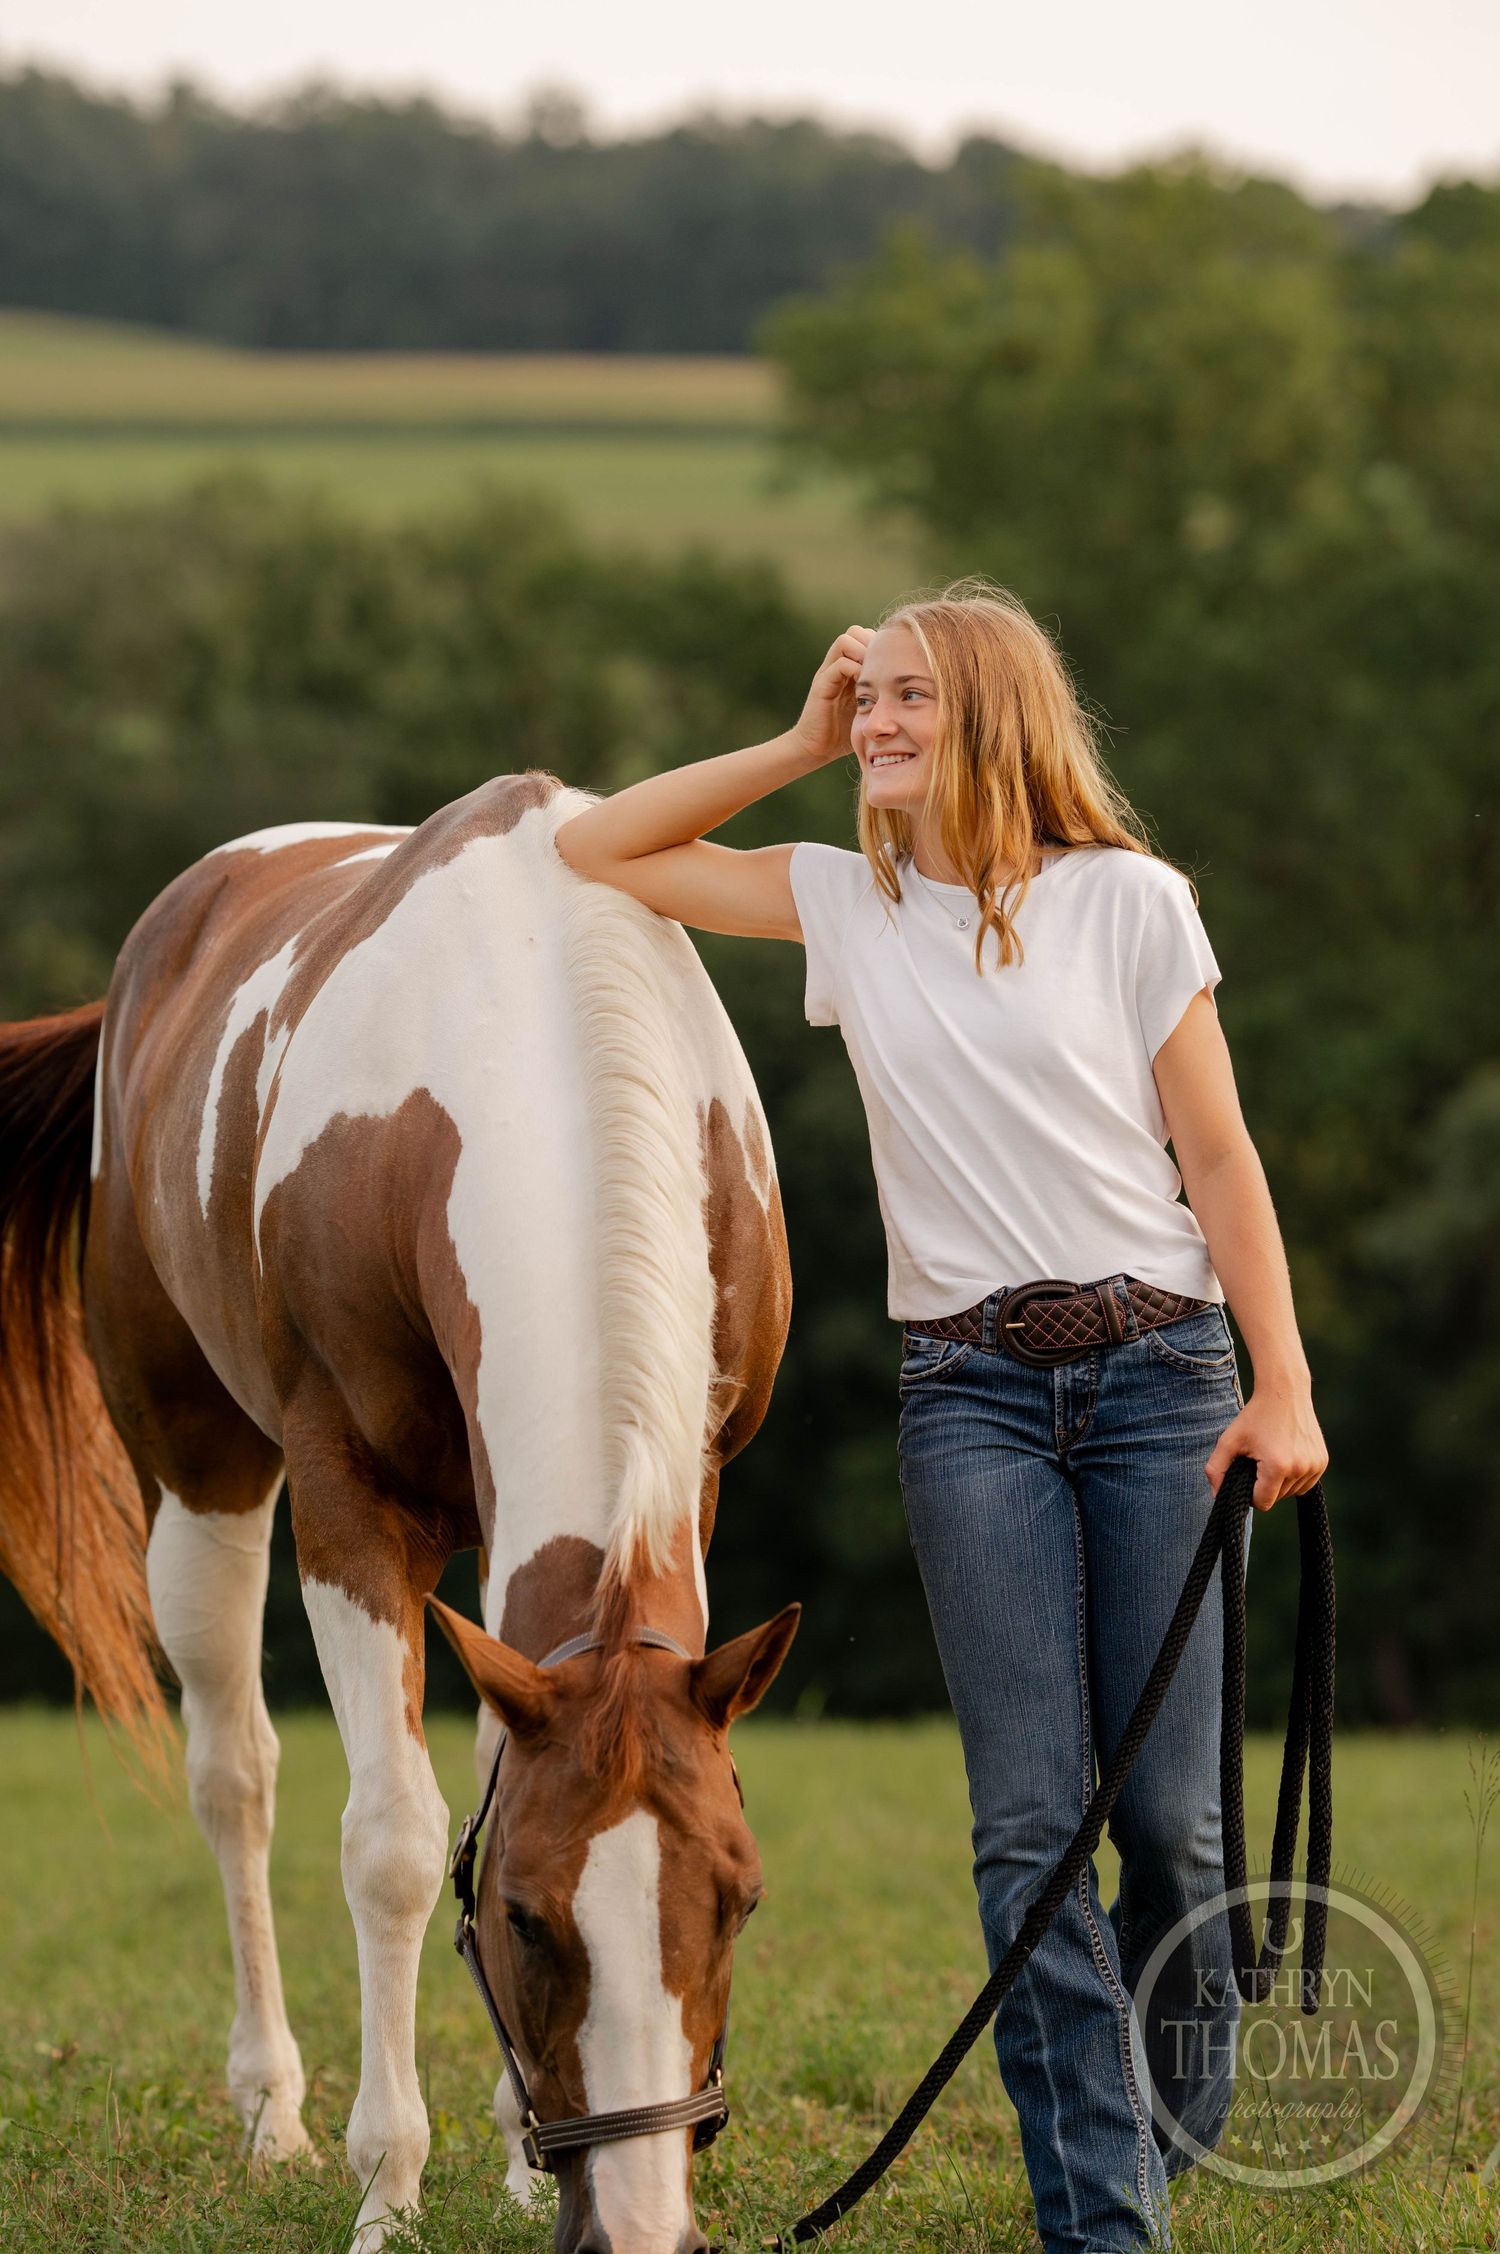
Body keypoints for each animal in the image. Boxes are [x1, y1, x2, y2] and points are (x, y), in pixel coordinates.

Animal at [0, 772, 796, 2253]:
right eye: (527, 1916)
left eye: (740, 1897)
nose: (640, 2222)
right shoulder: (348, 1508)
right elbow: (395, 1842)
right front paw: (389, 2183)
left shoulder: (681, 1483)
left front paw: (519, 2158)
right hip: (198, 1476)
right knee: (235, 1775)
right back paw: (273, 2113)